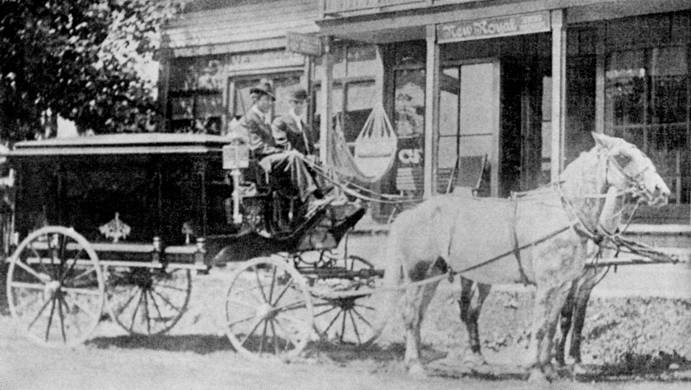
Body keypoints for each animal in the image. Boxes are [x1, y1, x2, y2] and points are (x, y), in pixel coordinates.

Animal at [382, 133, 672, 380]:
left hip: (433, 276)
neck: (564, 214)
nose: (662, 191)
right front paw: (536, 371)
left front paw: (550, 369)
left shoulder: (563, 285)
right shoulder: (547, 285)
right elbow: (542, 326)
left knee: (424, 316)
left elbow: (554, 325)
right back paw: (417, 367)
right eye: (623, 157)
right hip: (417, 275)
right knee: (412, 316)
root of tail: (409, 214)